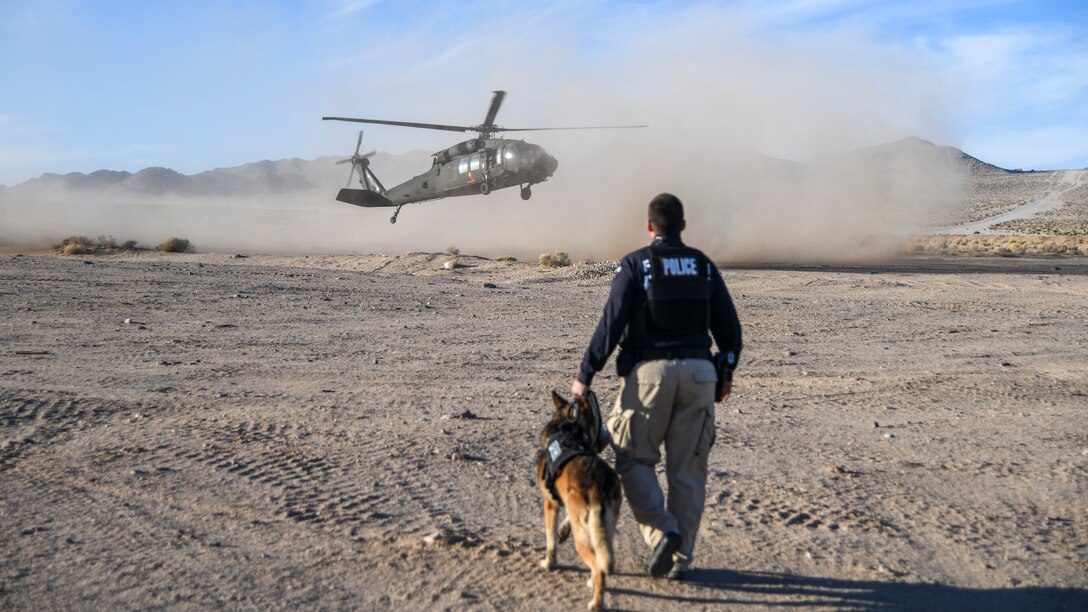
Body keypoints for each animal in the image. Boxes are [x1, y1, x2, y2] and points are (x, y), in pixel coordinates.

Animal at [535, 387, 622, 605]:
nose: (606, 439)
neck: (566, 430)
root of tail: (599, 488)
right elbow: (565, 521)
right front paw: (563, 530)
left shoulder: (550, 504)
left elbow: (550, 540)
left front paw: (549, 563)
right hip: (603, 530)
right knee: (602, 559)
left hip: (582, 539)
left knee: (598, 567)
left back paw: (595, 602)